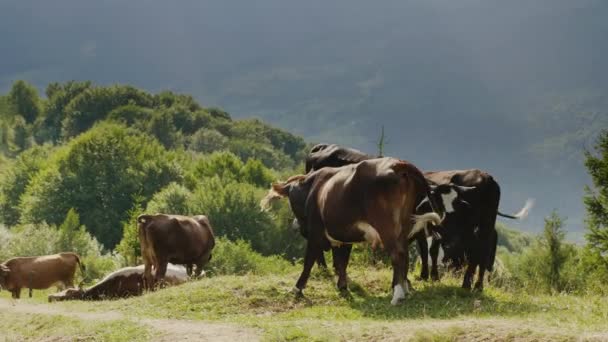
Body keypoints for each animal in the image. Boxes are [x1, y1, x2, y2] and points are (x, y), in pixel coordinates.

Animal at [266, 158, 442, 304]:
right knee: (404, 255)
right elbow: (342, 262)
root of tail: (398, 164)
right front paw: (342, 286)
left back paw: (397, 294)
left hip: (387, 227)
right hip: (404, 226)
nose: (296, 226)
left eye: (291, 200)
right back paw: (404, 289)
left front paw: (297, 288)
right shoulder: (345, 236)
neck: (315, 189)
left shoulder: (315, 233)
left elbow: (309, 261)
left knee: (397, 254)